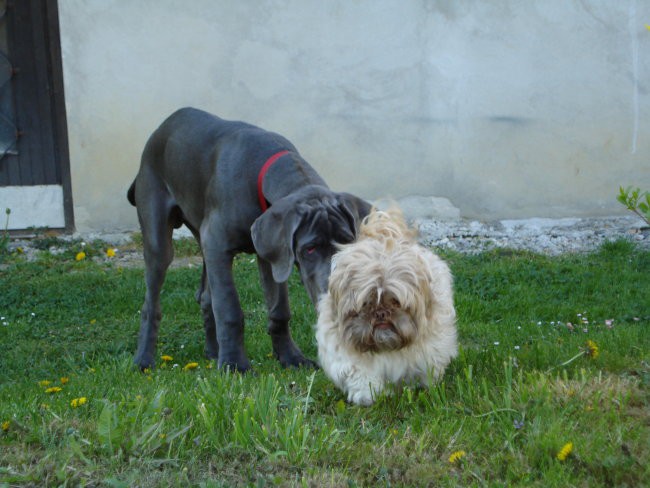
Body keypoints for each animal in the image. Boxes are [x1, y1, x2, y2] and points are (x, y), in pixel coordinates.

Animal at [127, 108, 370, 372]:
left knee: (205, 297)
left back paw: (213, 352)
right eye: (310, 249)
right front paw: (234, 364)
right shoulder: (218, 244)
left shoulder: (271, 253)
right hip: (159, 238)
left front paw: (290, 356)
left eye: (346, 243)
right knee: (151, 303)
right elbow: (229, 308)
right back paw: (144, 359)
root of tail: (162, 127)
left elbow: (279, 309)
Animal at [314, 208, 456, 406]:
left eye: (396, 302)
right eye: (366, 304)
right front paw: (368, 396)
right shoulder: (349, 360)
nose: (381, 313)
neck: (385, 347)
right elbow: (362, 378)